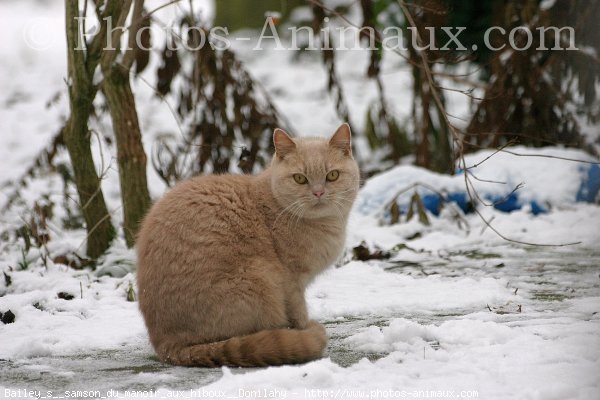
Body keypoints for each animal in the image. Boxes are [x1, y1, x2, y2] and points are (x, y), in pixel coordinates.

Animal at [138, 123, 358, 368]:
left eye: (332, 175)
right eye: (300, 179)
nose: (318, 192)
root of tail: (166, 346)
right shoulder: (292, 283)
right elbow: (299, 313)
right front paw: (304, 328)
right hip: (260, 277)